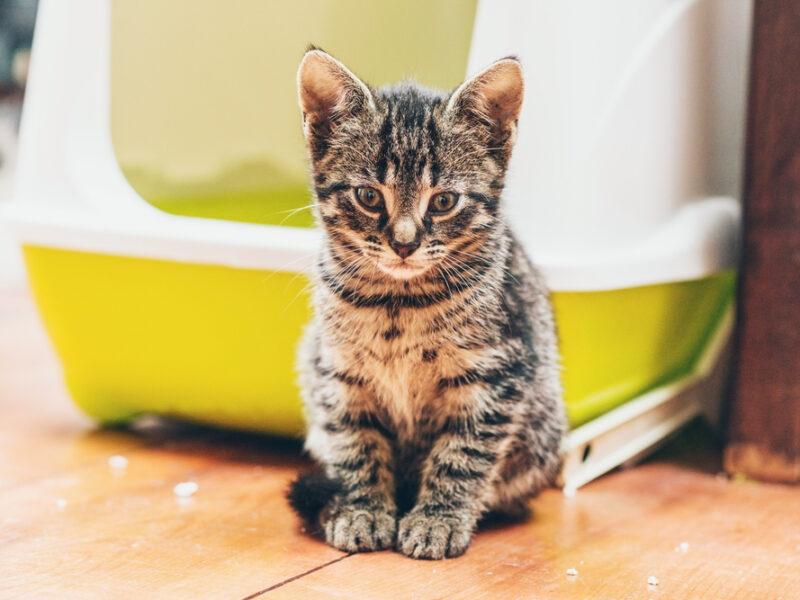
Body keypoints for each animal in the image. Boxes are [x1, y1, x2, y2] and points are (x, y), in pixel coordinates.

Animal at [290, 49, 564, 560]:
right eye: (368, 196)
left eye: (443, 202)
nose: (404, 243)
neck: (397, 303)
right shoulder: (338, 372)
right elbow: (356, 444)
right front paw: (362, 510)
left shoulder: (497, 373)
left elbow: (462, 454)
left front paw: (438, 519)